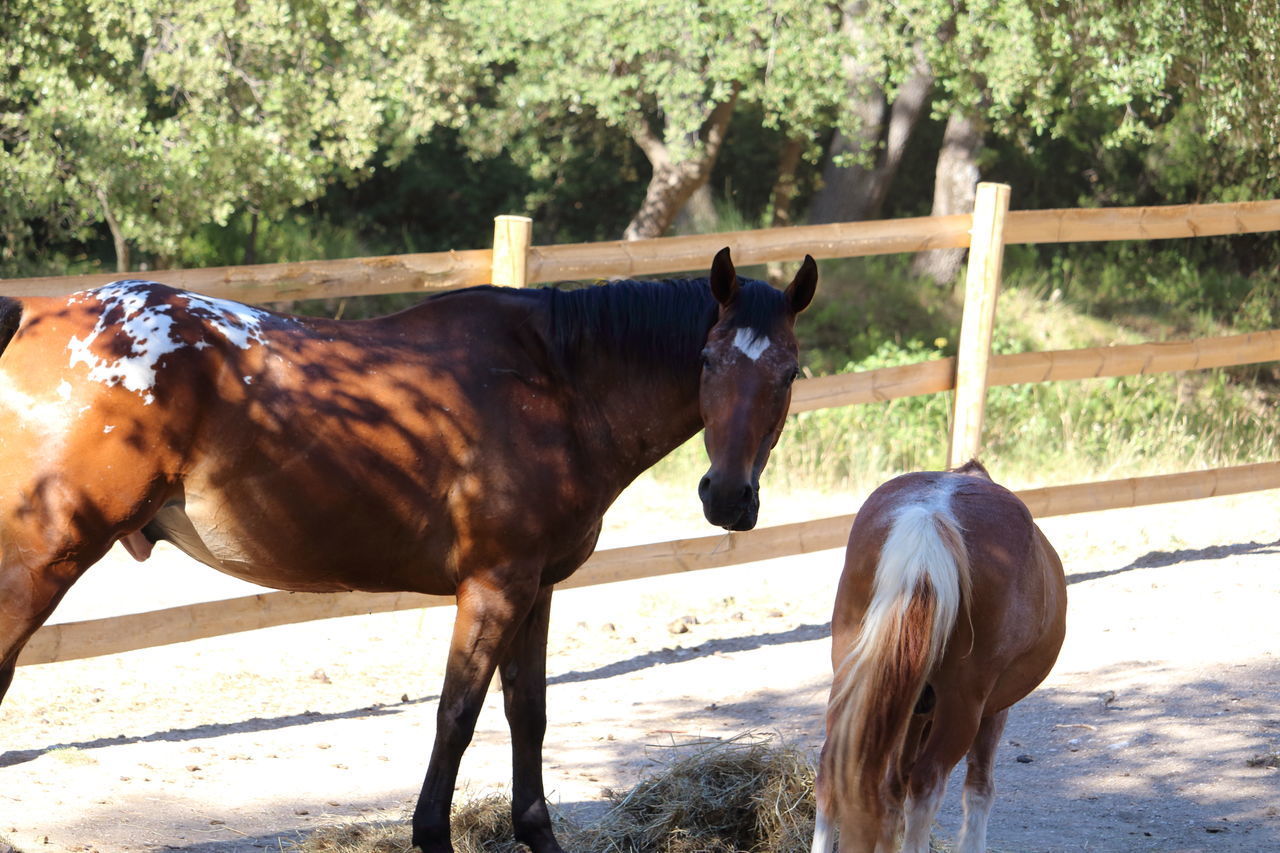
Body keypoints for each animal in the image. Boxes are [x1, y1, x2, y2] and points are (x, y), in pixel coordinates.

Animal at [0, 247, 814, 850]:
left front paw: (536, 832)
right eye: (707, 362)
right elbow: (457, 714)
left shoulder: (537, 587)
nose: (728, 497)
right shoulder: (493, 585)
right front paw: (431, 833)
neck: (554, 383)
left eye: (788, 373)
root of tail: (37, 311)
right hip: (41, 562)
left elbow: (529, 713)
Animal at [808, 458, 1070, 850]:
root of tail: (929, 517)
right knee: (926, 784)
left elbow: (890, 793)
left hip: (852, 682)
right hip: (962, 706)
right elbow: (978, 789)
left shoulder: (911, 710)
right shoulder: (993, 711)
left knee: (833, 772)